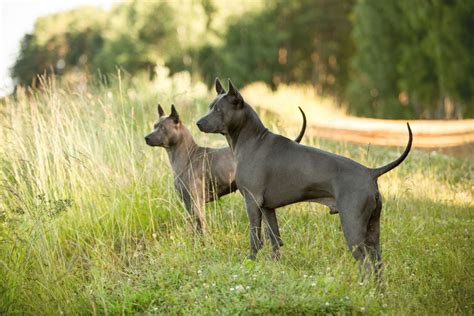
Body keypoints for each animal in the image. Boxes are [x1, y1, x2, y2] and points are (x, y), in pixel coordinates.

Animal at [145, 102, 308, 233]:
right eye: (154, 126)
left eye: (163, 128)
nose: (146, 137)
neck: (188, 155)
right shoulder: (188, 204)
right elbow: (193, 229)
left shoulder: (197, 203)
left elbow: (202, 229)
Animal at [196, 78, 412, 278]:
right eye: (210, 107)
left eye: (218, 109)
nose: (198, 123)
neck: (253, 141)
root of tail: (370, 172)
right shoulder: (268, 208)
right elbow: (275, 241)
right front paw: (274, 268)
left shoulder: (252, 202)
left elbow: (255, 240)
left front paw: (249, 264)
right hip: (373, 231)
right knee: (378, 264)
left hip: (353, 226)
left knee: (365, 264)